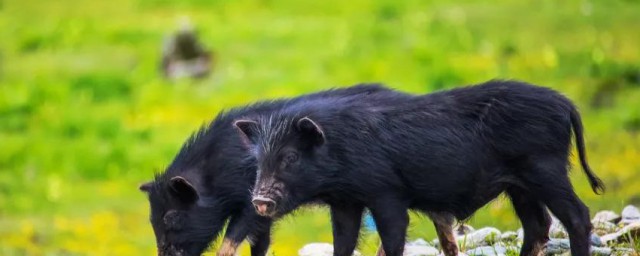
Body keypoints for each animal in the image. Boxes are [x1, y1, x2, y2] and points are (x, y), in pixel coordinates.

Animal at [235, 80, 604, 256]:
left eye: (291, 158)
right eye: (260, 160)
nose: (259, 200)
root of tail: (565, 103)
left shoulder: (386, 192)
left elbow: (394, 236)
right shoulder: (346, 202)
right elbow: (343, 242)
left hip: (545, 168)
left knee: (577, 215)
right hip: (519, 186)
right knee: (538, 225)